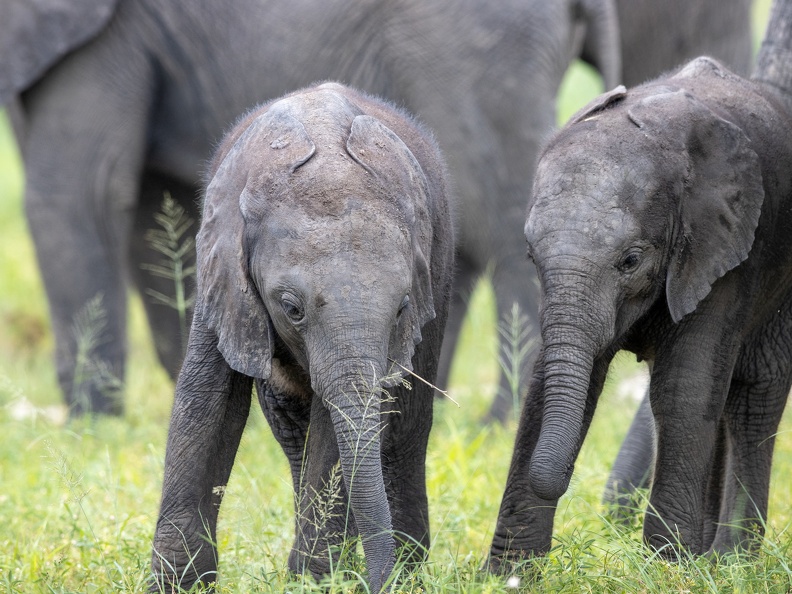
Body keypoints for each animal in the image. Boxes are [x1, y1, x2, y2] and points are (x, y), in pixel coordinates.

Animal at [2, 0, 621, 417]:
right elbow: (153, 211)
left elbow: (80, 194)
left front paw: (92, 424)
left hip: (475, 43)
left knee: (499, 214)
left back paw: (498, 421)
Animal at [150, 83, 455, 593]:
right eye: (291, 308)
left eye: (401, 309)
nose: (377, 582)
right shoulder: (221, 267)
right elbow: (207, 403)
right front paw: (175, 583)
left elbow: (339, 421)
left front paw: (316, 580)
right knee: (293, 431)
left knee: (404, 428)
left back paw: (404, 568)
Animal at [488, 0, 792, 568]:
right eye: (532, 257)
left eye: (631, 260)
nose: (568, 489)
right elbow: (551, 387)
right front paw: (507, 574)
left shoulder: (724, 251)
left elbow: (683, 389)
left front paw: (667, 569)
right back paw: (712, 559)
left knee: (753, 393)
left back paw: (731, 561)